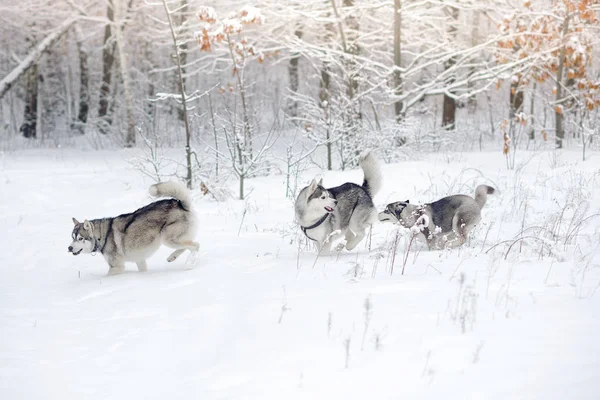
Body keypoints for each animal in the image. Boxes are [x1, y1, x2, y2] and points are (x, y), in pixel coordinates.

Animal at [68, 181, 199, 276]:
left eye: (80, 238)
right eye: (73, 237)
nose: (69, 248)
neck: (102, 236)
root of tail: (180, 204)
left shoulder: (117, 267)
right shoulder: (139, 260)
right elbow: (142, 270)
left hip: (168, 238)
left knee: (196, 246)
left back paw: (190, 264)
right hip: (173, 239)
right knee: (186, 246)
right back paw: (172, 257)